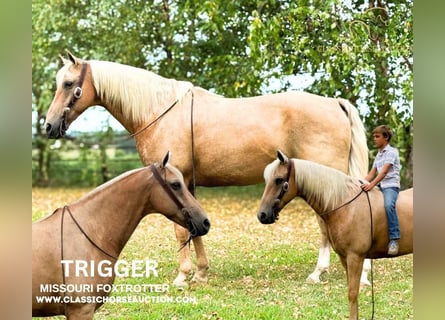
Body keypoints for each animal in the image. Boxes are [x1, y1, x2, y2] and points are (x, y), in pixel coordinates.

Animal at [45, 52, 370, 288]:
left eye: (68, 83)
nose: (49, 126)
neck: (160, 111)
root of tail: (334, 103)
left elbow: (180, 231)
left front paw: (182, 276)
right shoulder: (185, 184)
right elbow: (193, 226)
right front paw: (200, 273)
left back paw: (334, 273)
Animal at [256, 151, 412, 320]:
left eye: (278, 179)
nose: (262, 215)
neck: (346, 206)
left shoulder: (355, 257)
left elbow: (352, 293)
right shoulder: (345, 258)